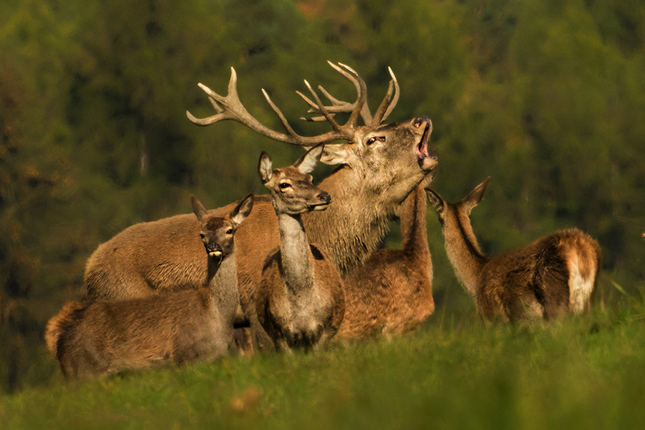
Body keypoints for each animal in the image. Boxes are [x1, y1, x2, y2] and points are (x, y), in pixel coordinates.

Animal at [44, 193, 252, 378]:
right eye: (202, 234)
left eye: (229, 230)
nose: (213, 247)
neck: (216, 312)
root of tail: (56, 337)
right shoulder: (184, 355)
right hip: (85, 371)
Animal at [426, 176, 600, 320]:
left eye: (439, 217)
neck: (476, 278)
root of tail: (580, 252)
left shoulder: (492, 316)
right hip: (587, 302)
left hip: (554, 297)